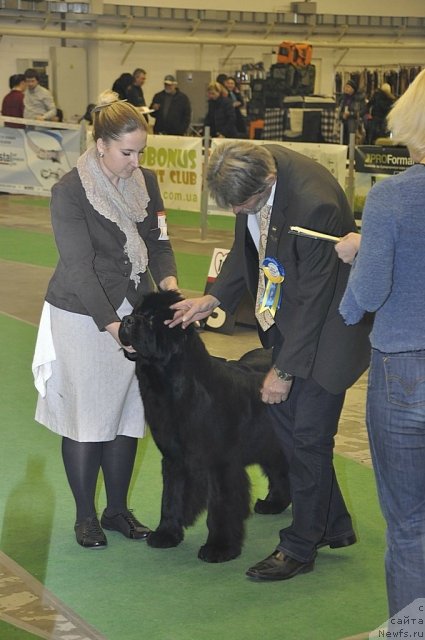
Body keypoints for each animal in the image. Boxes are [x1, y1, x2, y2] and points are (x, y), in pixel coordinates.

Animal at [118, 292, 288, 564]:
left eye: (153, 319)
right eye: (137, 312)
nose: (126, 320)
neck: (173, 387)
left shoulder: (221, 464)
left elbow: (221, 507)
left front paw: (219, 548)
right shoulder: (174, 458)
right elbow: (171, 497)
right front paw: (166, 534)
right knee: (279, 471)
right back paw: (273, 504)